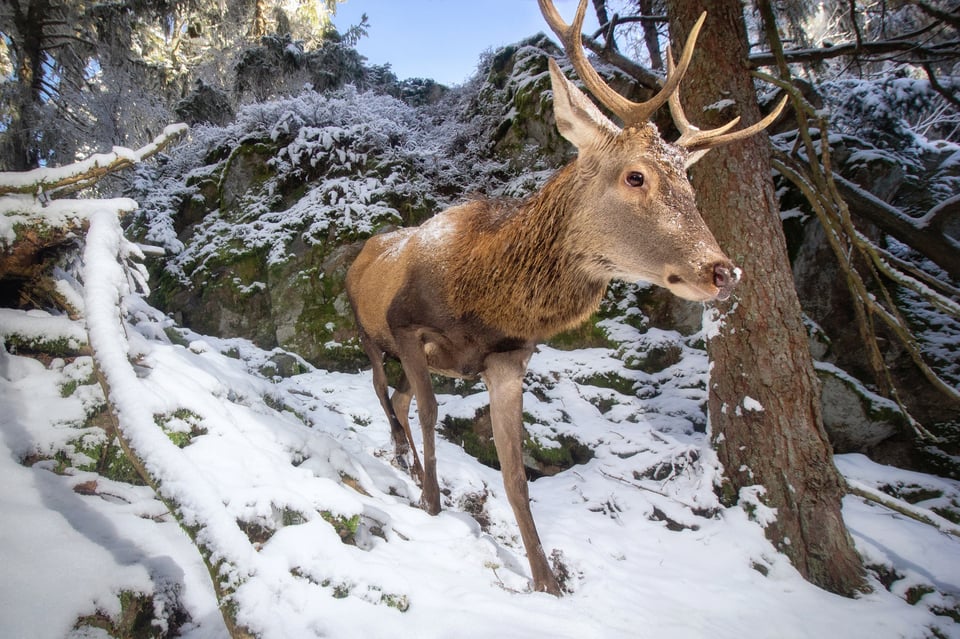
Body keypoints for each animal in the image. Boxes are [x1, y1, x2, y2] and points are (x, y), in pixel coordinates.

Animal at [346, 0, 788, 596]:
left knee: (397, 399)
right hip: (365, 327)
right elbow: (433, 418)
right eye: (636, 176)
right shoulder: (407, 325)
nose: (723, 271)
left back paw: (403, 458)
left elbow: (514, 472)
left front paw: (546, 582)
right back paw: (405, 460)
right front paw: (433, 506)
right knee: (381, 388)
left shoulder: (508, 360)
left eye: (691, 188)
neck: (479, 297)